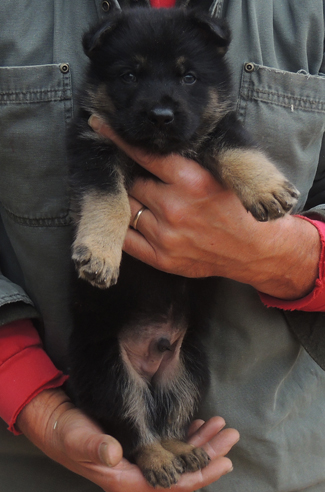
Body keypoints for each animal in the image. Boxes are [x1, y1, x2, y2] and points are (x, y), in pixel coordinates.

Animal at [66, 6, 298, 488]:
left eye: (188, 77)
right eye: (129, 74)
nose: (160, 115)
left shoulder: (216, 126)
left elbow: (235, 147)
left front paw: (266, 188)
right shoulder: (94, 150)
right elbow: (108, 198)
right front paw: (100, 253)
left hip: (186, 370)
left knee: (168, 418)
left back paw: (183, 450)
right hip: (109, 372)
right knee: (134, 430)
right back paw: (158, 460)